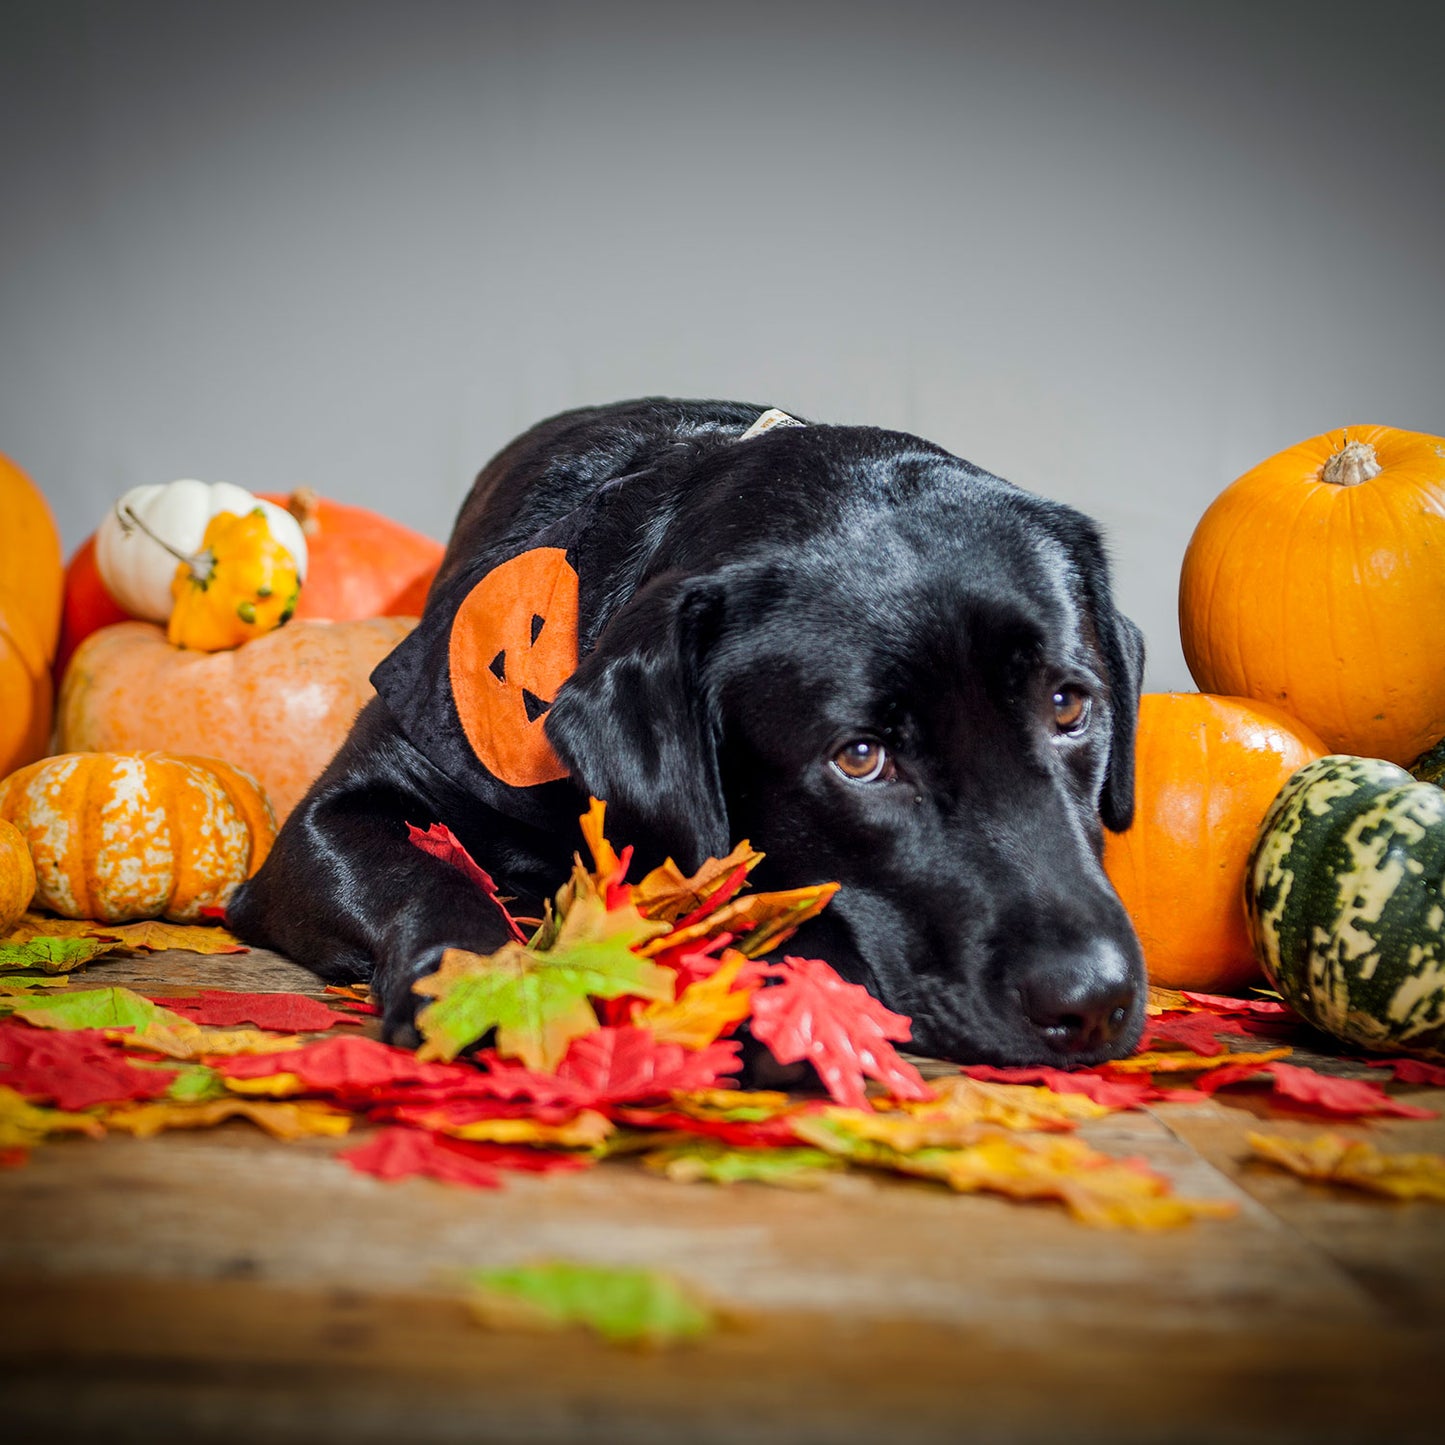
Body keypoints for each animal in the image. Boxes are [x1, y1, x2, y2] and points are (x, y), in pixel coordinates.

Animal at [231, 393, 1144, 1063]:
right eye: (860, 757)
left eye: (1068, 705)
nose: (1091, 1001)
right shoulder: (326, 821)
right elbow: (430, 878)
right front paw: (478, 985)